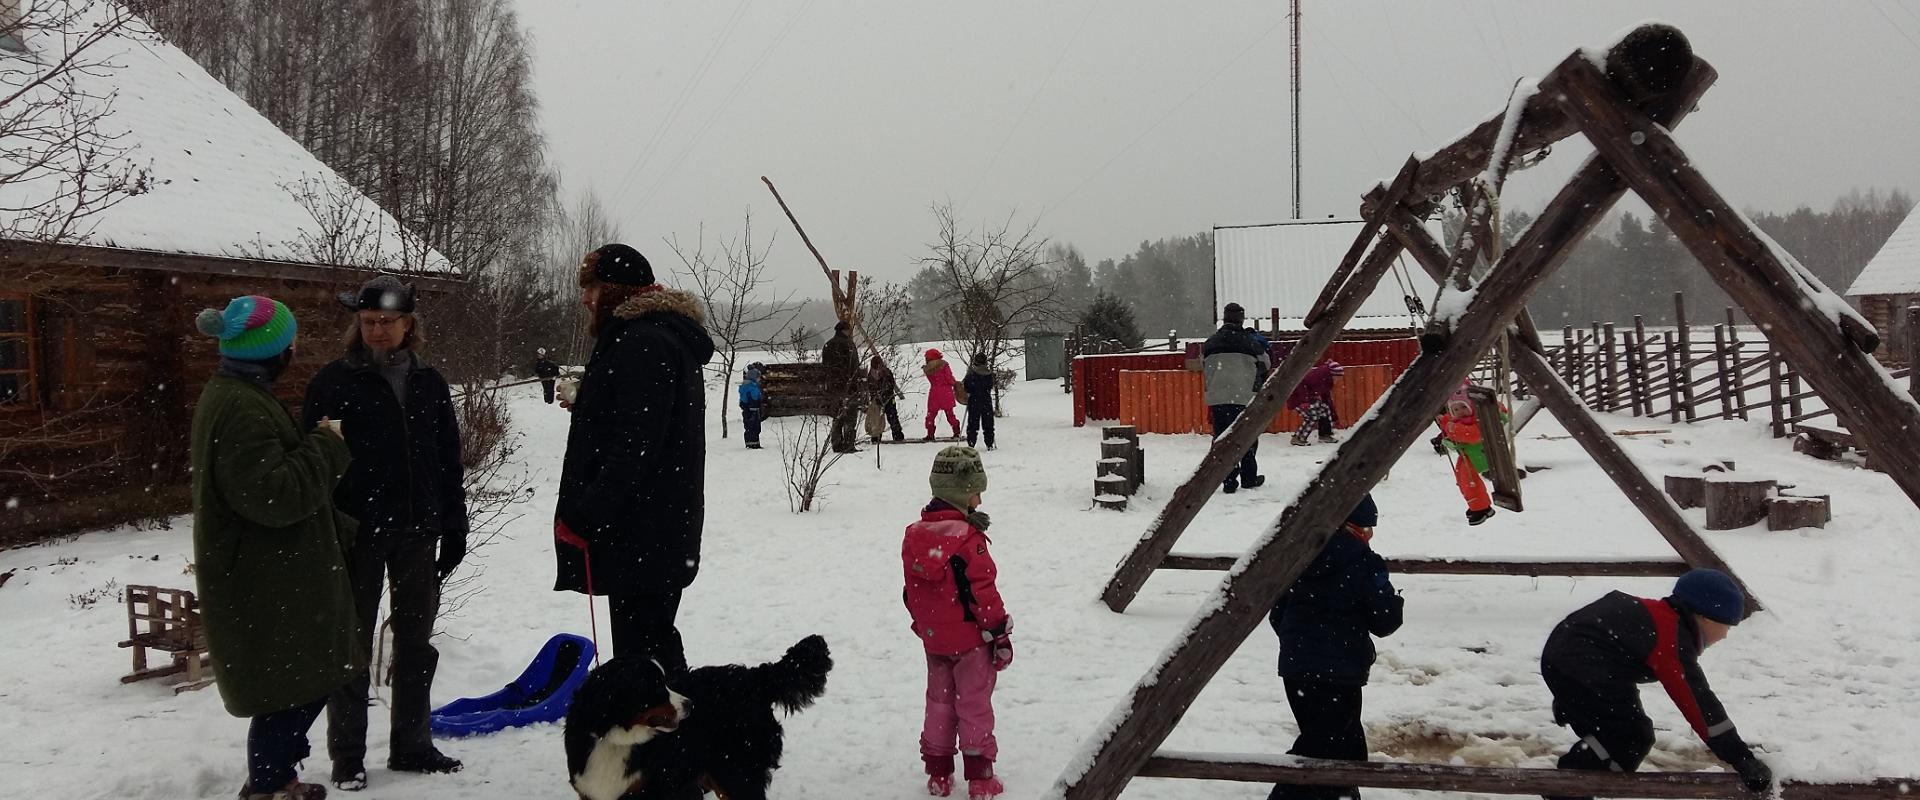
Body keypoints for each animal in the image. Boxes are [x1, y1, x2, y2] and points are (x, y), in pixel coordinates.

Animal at [568, 636, 840, 798]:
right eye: (656, 688)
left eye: (665, 682)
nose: (690, 705)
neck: (614, 741)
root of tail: (755, 678)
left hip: (737, 772)